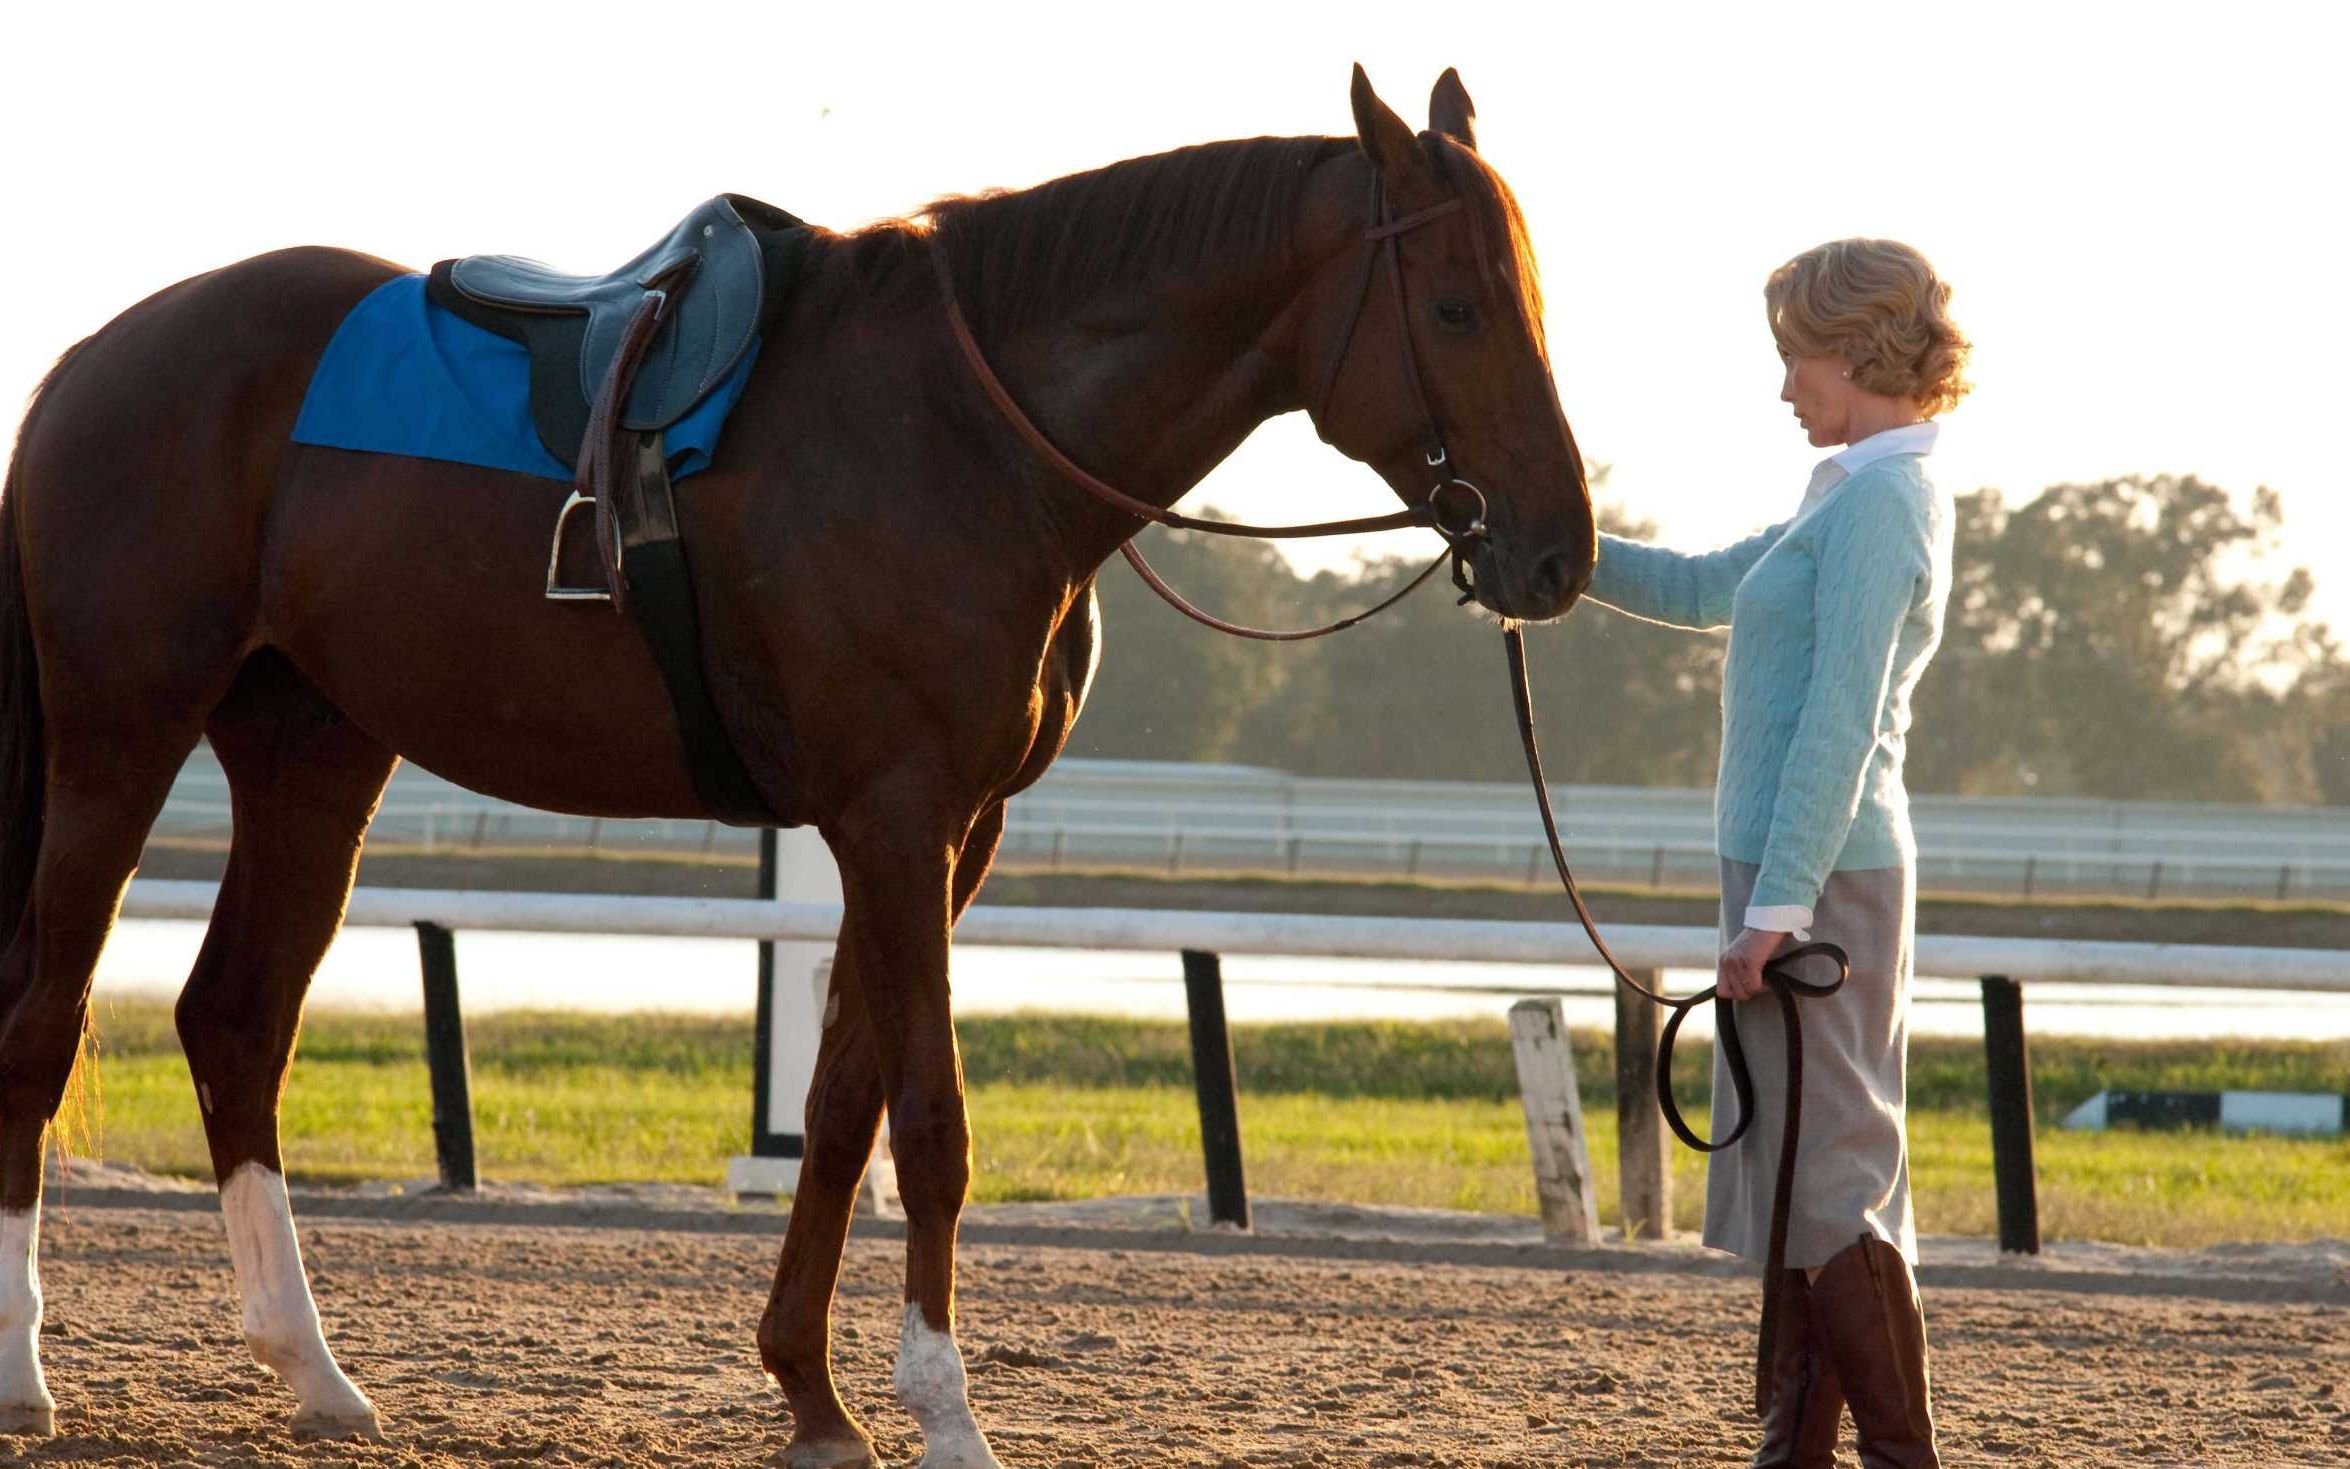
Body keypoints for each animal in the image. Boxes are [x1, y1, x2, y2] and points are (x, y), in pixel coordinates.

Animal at [0, 71, 1588, 1466]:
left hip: (314, 751)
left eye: (1532, 299)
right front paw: (945, 1412)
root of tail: (99, 353)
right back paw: (25, 1371)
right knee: (46, 1015)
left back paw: (313, 1371)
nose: (1557, 553)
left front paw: (813, 1395)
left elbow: (839, 1108)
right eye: (1454, 306)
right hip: (121, 739)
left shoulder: (951, 833)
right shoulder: (894, 817)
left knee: (234, 1025)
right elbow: (930, 1121)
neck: (972, 432)